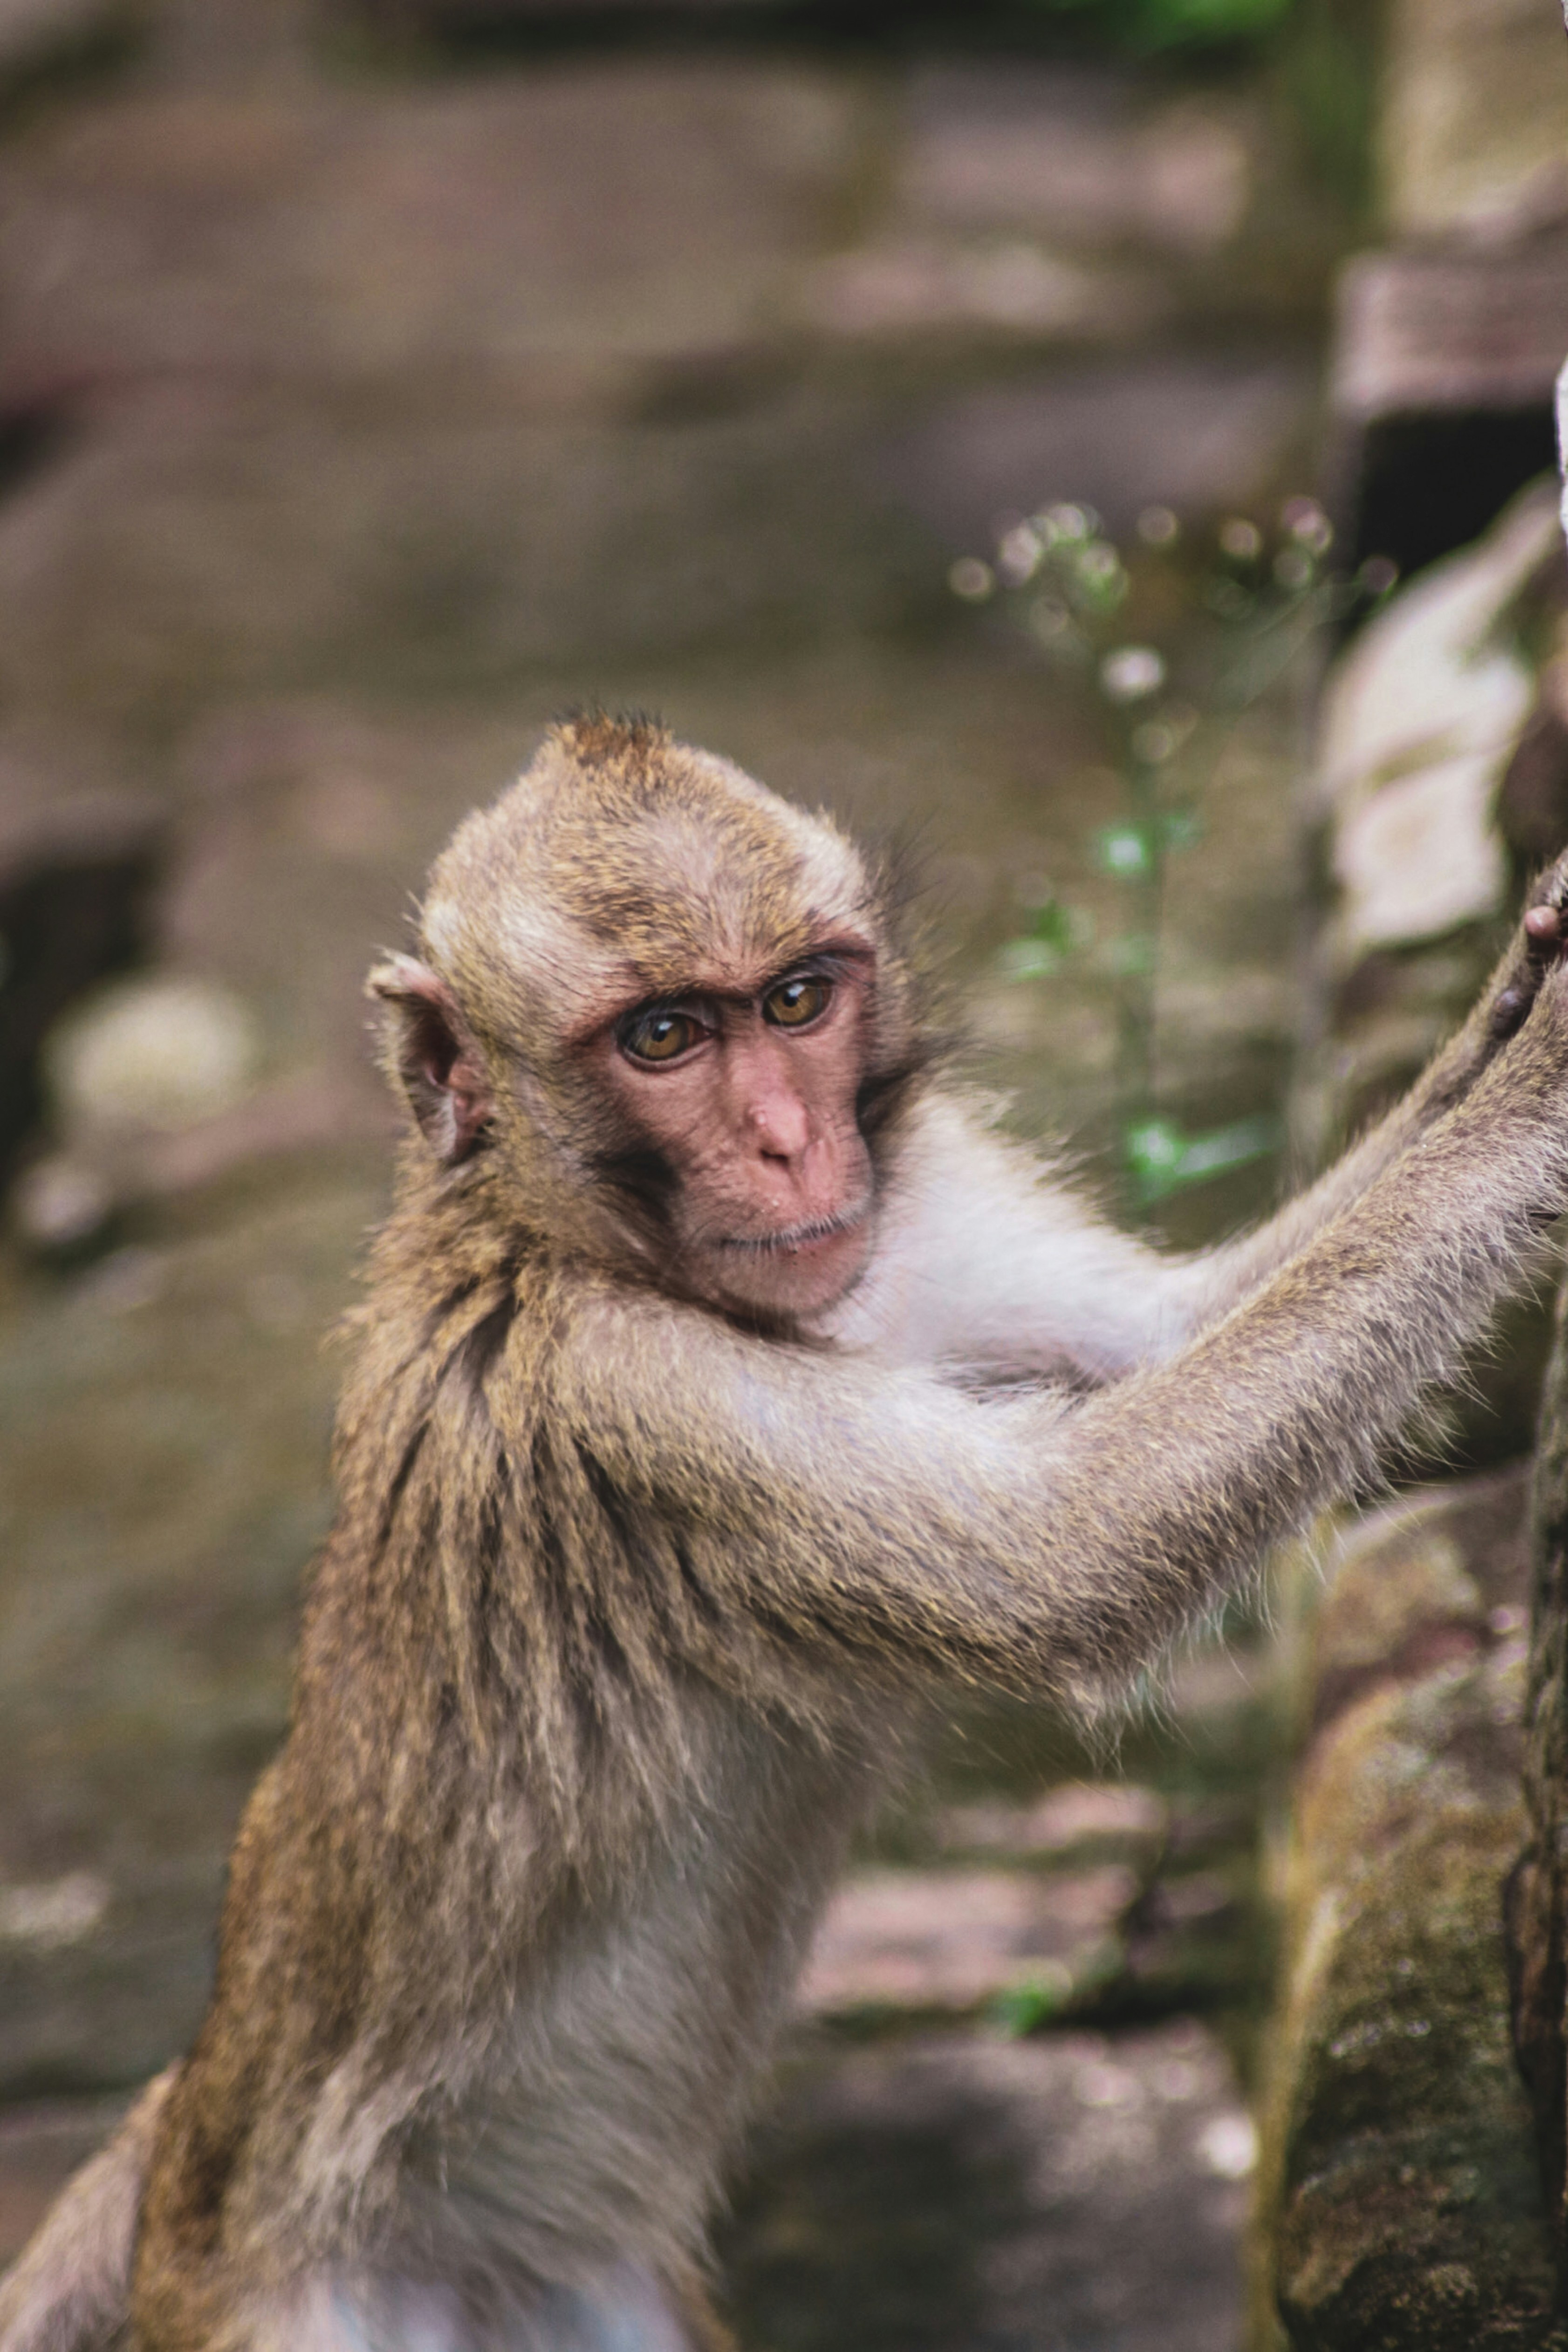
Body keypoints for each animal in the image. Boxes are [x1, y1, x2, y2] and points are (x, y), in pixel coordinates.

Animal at [6, 711, 1568, 2352]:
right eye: (663, 1039)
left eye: (796, 1000)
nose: (784, 1143)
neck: (549, 1230)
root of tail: (184, 2134)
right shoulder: (633, 1405)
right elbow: (1072, 1547)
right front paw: (1537, 1077)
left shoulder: (917, 1193)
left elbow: (1172, 1328)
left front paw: (1501, 1002)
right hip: (295, 2302)